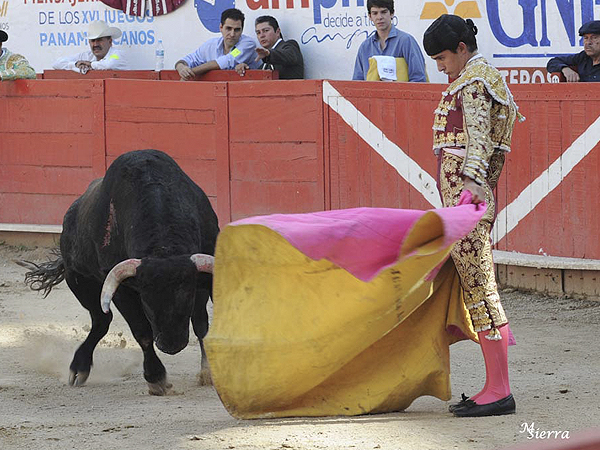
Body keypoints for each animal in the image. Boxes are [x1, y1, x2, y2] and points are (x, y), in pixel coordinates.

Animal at [21, 150, 224, 394]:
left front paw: (209, 372)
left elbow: (202, 324)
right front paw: (156, 378)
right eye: (146, 301)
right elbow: (142, 332)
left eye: (187, 294)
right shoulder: (122, 291)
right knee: (101, 321)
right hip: (77, 278)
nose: (171, 344)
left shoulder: (203, 278)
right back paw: (79, 368)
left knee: (199, 322)